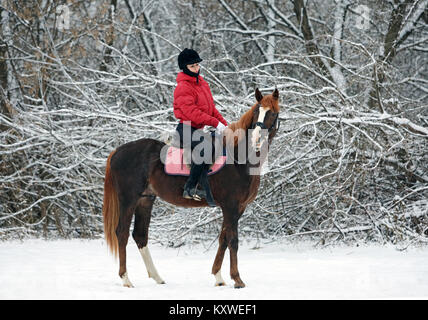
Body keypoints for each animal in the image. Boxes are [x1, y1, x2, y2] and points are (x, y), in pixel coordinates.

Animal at [101, 88, 280, 290]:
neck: (238, 158)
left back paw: (157, 277)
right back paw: (126, 279)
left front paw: (218, 276)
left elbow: (223, 239)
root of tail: (117, 151)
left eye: (272, 113)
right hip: (128, 199)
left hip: (145, 200)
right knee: (122, 233)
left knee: (140, 235)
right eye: (257, 111)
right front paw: (237, 279)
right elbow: (233, 241)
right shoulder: (230, 206)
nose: (256, 139)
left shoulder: (238, 208)